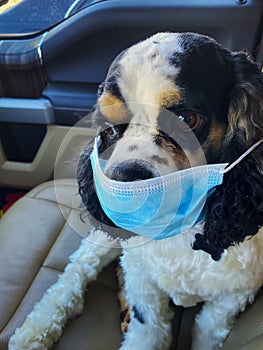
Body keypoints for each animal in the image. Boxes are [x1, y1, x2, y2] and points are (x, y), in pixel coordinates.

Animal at [9, 32, 263, 350]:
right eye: (107, 126)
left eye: (186, 120)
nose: (125, 181)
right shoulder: (142, 277)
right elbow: (149, 330)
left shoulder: (237, 292)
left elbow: (209, 328)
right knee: (78, 268)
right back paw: (36, 330)